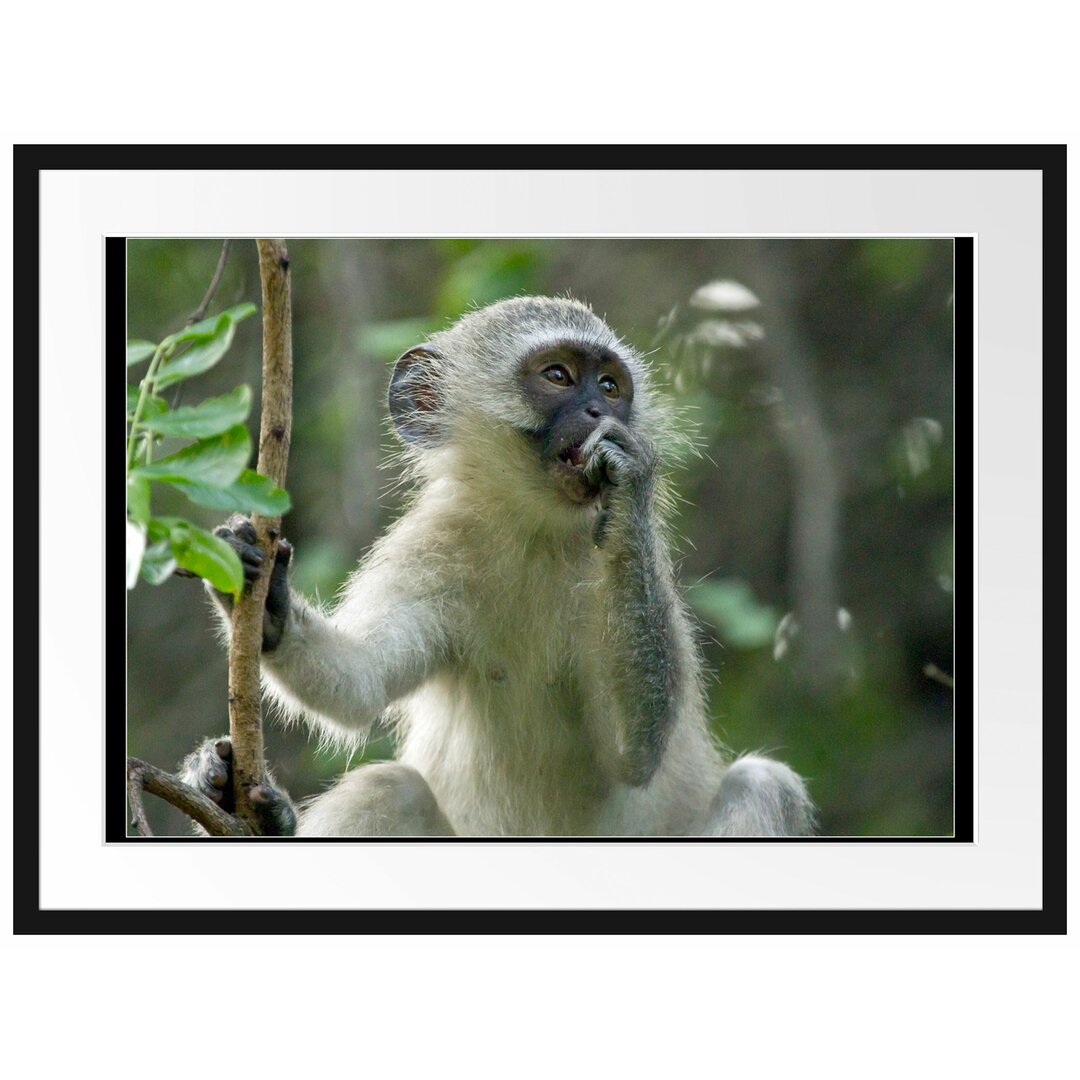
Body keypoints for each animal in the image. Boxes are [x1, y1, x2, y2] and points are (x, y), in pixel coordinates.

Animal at [187, 300, 812, 838]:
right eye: (558, 375)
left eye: (611, 386)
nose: (599, 411)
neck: (535, 531)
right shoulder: (431, 545)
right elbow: (361, 684)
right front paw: (264, 599)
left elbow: (634, 750)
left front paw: (631, 478)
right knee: (384, 788)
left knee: (764, 785)